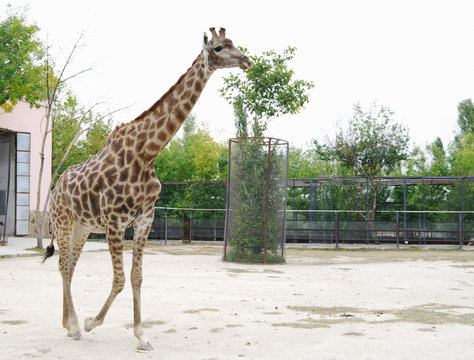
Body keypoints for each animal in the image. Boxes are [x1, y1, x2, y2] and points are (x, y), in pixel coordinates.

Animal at [44, 28, 252, 352]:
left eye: (235, 43)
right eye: (219, 48)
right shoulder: (116, 221)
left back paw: (69, 325)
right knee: (64, 266)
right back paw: (76, 326)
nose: (246, 60)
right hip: (64, 222)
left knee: (68, 267)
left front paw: (142, 336)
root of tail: (54, 190)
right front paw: (92, 323)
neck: (148, 152)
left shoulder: (144, 219)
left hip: (82, 227)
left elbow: (136, 277)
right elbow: (119, 279)